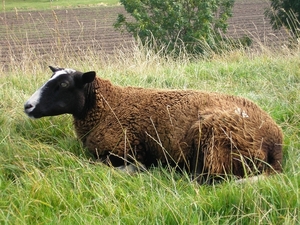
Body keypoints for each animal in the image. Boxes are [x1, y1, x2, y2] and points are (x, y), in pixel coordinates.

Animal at [24, 66, 284, 184]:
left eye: (64, 85)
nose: (28, 106)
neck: (108, 105)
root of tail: (276, 142)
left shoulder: (125, 149)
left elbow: (106, 164)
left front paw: (139, 169)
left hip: (216, 141)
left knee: (211, 177)